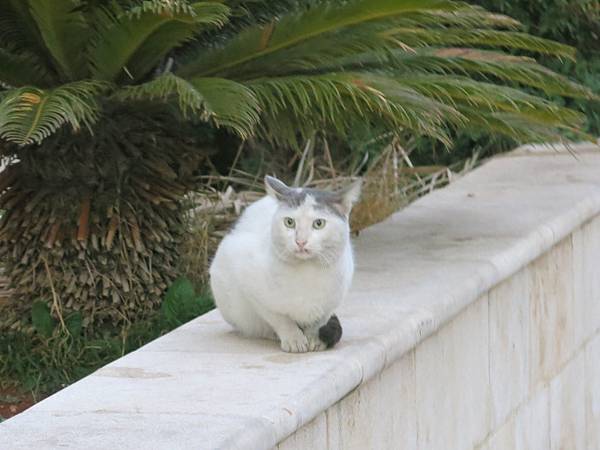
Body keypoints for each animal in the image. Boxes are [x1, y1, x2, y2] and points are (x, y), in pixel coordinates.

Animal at [210, 174, 360, 354]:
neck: (307, 274)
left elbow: (318, 322)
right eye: (289, 222)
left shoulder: (332, 302)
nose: (300, 241)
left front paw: (313, 338)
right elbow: (280, 318)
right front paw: (293, 339)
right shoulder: (250, 285)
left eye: (319, 223)